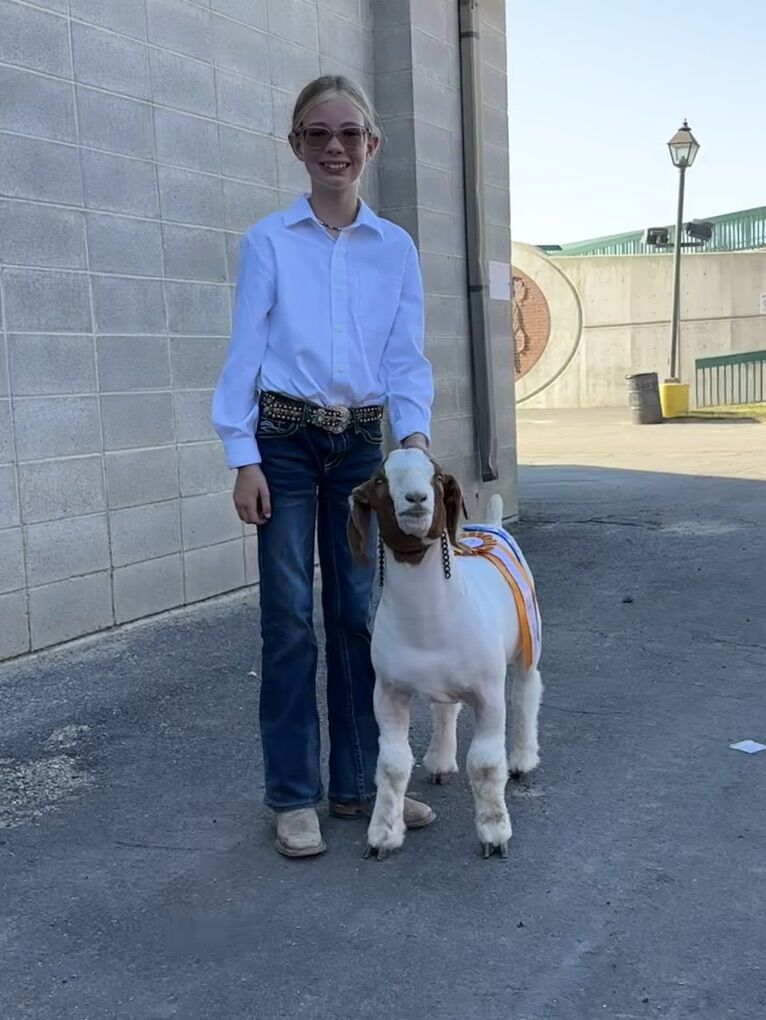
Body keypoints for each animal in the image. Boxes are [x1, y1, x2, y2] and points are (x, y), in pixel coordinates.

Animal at [347, 448, 543, 860]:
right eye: (380, 480)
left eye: (436, 475)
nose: (416, 499)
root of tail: (492, 524)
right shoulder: (387, 691)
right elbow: (391, 764)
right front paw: (382, 835)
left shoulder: (487, 692)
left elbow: (485, 764)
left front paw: (494, 834)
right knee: (445, 709)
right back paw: (439, 762)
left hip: (529, 640)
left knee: (525, 694)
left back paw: (522, 759)